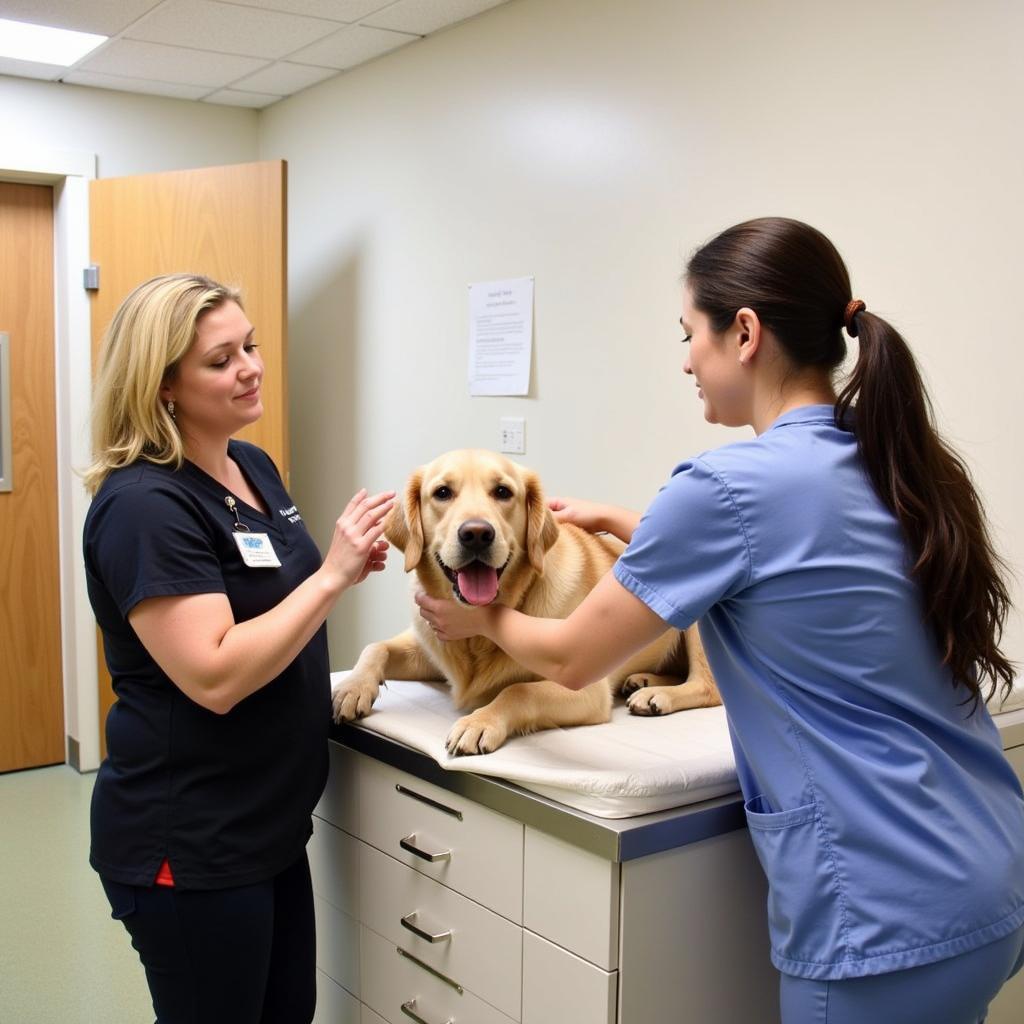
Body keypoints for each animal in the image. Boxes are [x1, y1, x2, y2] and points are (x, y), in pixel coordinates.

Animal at [329, 452, 720, 757]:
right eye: (442, 493)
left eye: (503, 492)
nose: (476, 534)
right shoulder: (429, 648)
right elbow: (375, 647)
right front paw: (353, 688)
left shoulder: (588, 691)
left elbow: (517, 690)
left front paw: (480, 721)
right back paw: (642, 680)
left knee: (707, 687)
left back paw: (658, 695)